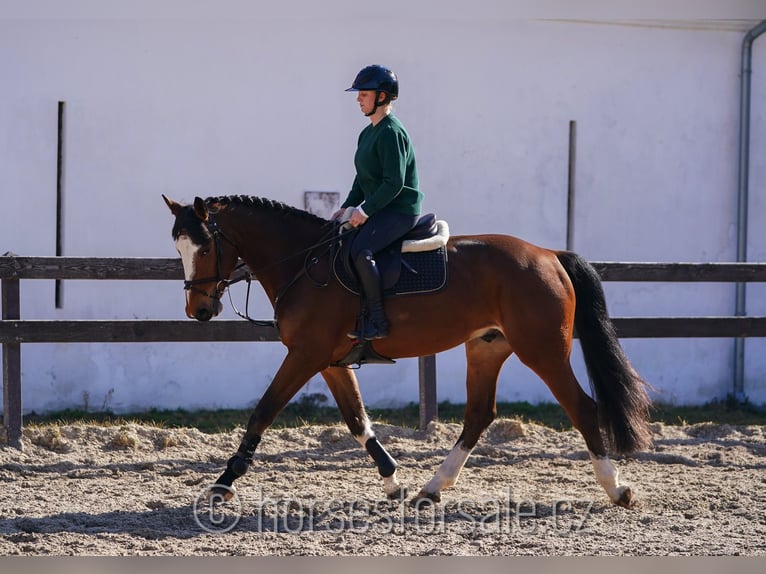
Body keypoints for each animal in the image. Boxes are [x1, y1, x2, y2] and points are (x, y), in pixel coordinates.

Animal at [164, 196, 656, 510]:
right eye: (179, 247)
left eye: (204, 246)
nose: (199, 310)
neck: (304, 264)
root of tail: (550, 255)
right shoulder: (328, 362)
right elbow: (357, 421)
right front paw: (393, 481)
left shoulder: (305, 356)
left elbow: (262, 413)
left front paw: (223, 484)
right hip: (487, 349)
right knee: (479, 415)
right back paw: (430, 489)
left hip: (543, 351)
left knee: (583, 408)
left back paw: (616, 490)